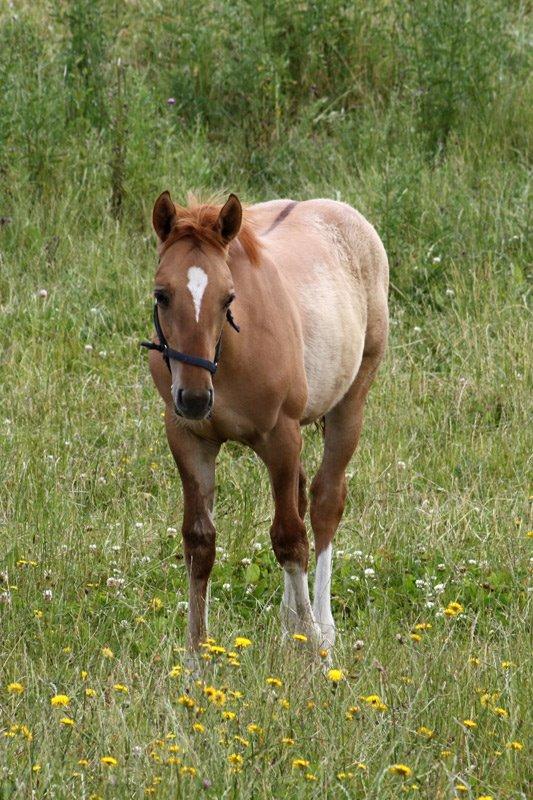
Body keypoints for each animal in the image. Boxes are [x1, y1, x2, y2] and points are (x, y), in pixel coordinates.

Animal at [141, 191, 388, 660]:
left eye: (228, 298)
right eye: (161, 295)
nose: (195, 398)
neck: (228, 359)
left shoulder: (281, 436)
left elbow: (290, 538)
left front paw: (313, 647)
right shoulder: (187, 438)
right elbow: (199, 542)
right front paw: (196, 658)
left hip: (352, 402)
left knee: (324, 503)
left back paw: (322, 628)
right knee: (302, 496)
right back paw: (291, 621)